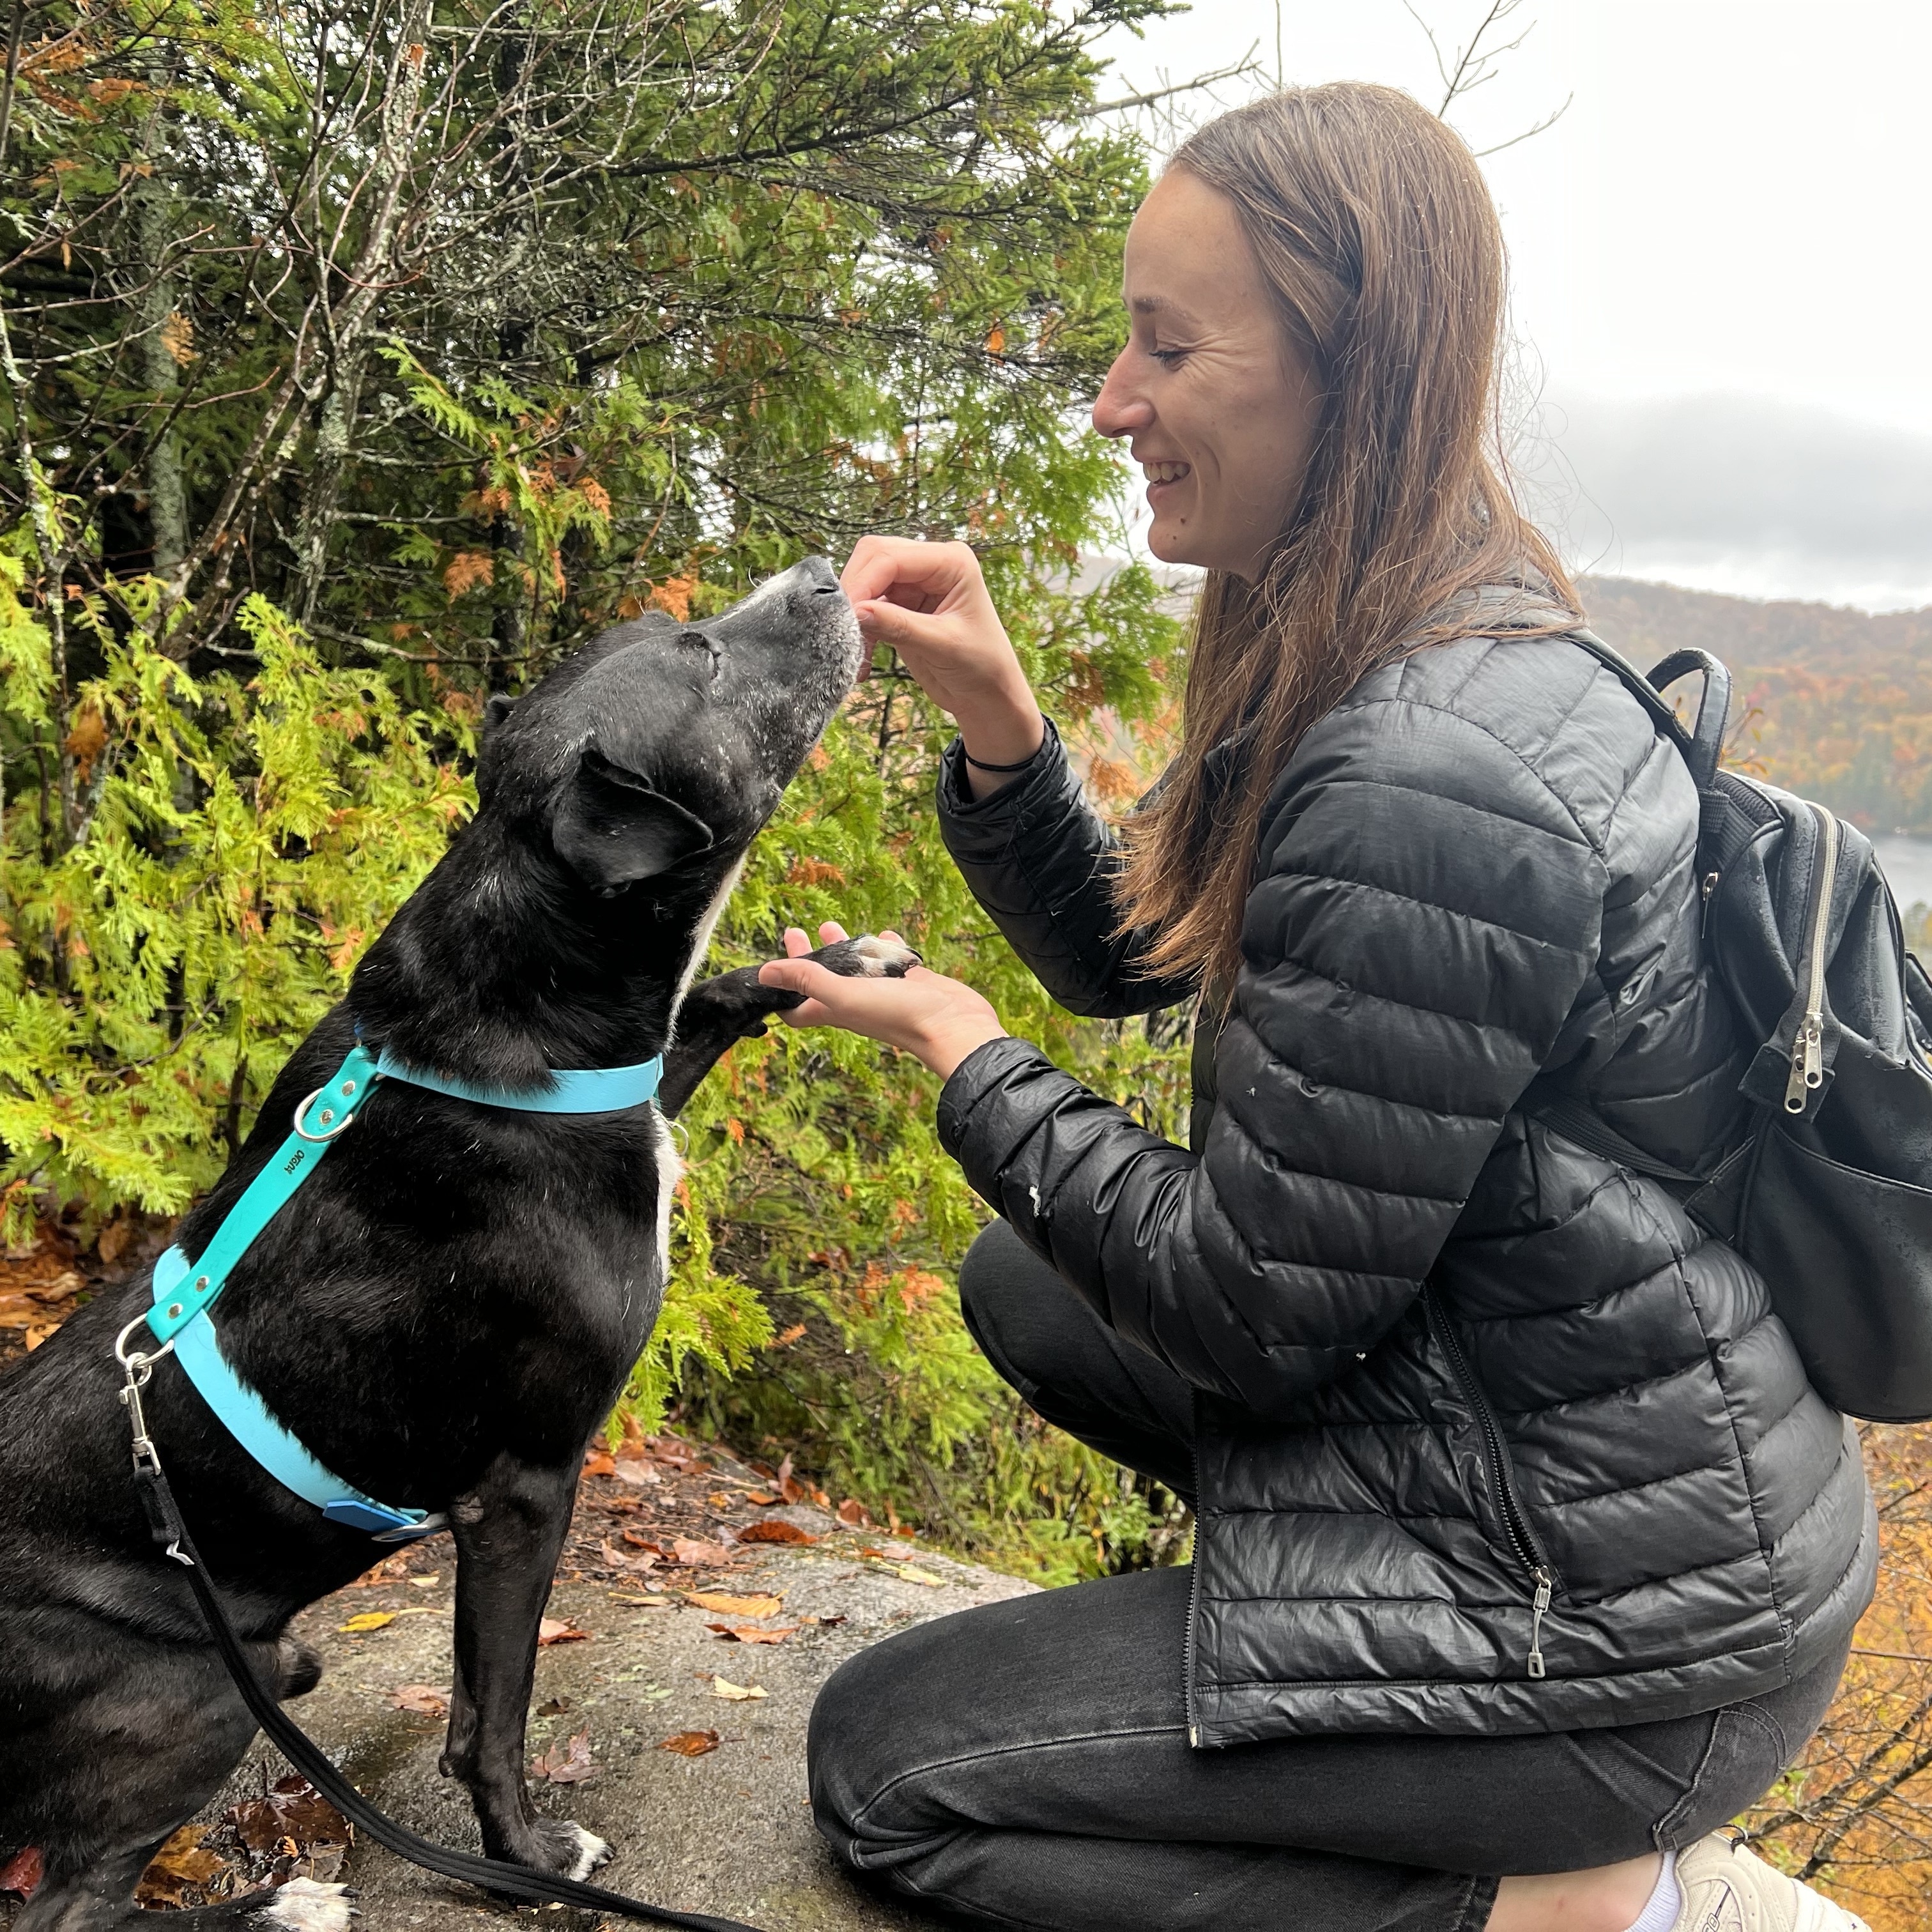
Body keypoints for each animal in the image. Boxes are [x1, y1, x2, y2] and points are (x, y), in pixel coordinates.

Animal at [0, 560, 912, 1932]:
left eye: (682, 629)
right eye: (702, 658)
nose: (820, 574)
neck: (521, 991)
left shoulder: (635, 1083)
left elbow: (715, 998)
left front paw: (845, 961)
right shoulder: (522, 1486)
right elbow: (493, 1713)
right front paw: (523, 1855)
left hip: (267, 1659)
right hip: (190, 1689)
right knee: (69, 1908)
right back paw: (286, 1903)